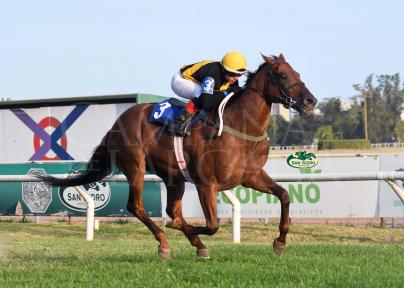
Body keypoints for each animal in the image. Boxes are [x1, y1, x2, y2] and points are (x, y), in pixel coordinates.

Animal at [38, 53, 316, 258]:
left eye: (298, 74)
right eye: (282, 75)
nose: (310, 101)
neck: (240, 127)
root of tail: (116, 123)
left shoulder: (251, 176)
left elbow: (284, 195)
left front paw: (280, 242)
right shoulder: (206, 184)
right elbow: (212, 225)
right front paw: (185, 231)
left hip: (174, 176)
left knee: (172, 209)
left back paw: (195, 245)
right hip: (136, 167)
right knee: (137, 206)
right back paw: (165, 243)